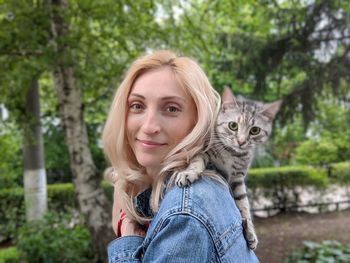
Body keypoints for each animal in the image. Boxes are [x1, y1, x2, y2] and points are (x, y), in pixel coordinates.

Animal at [175, 87, 282, 251]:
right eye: (233, 126)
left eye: (255, 130)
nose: (241, 141)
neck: (231, 153)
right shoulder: (202, 151)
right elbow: (196, 162)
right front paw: (189, 173)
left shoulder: (238, 176)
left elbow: (244, 203)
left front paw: (250, 230)